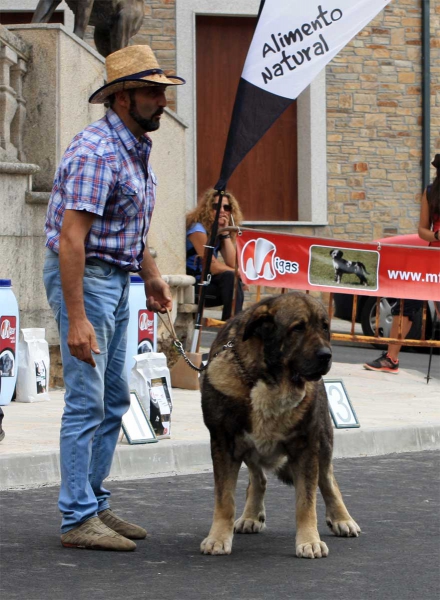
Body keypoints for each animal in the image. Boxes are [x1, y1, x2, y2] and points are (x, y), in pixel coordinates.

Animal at [201, 290, 360, 556]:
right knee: (258, 478)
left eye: (325, 327)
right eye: (297, 328)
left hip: (323, 442)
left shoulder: (306, 448)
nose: (326, 355)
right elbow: (225, 499)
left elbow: (306, 502)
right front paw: (218, 537)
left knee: (328, 481)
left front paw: (309, 541)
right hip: (250, 447)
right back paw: (251, 514)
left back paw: (342, 518)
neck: (270, 384)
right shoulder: (224, 445)